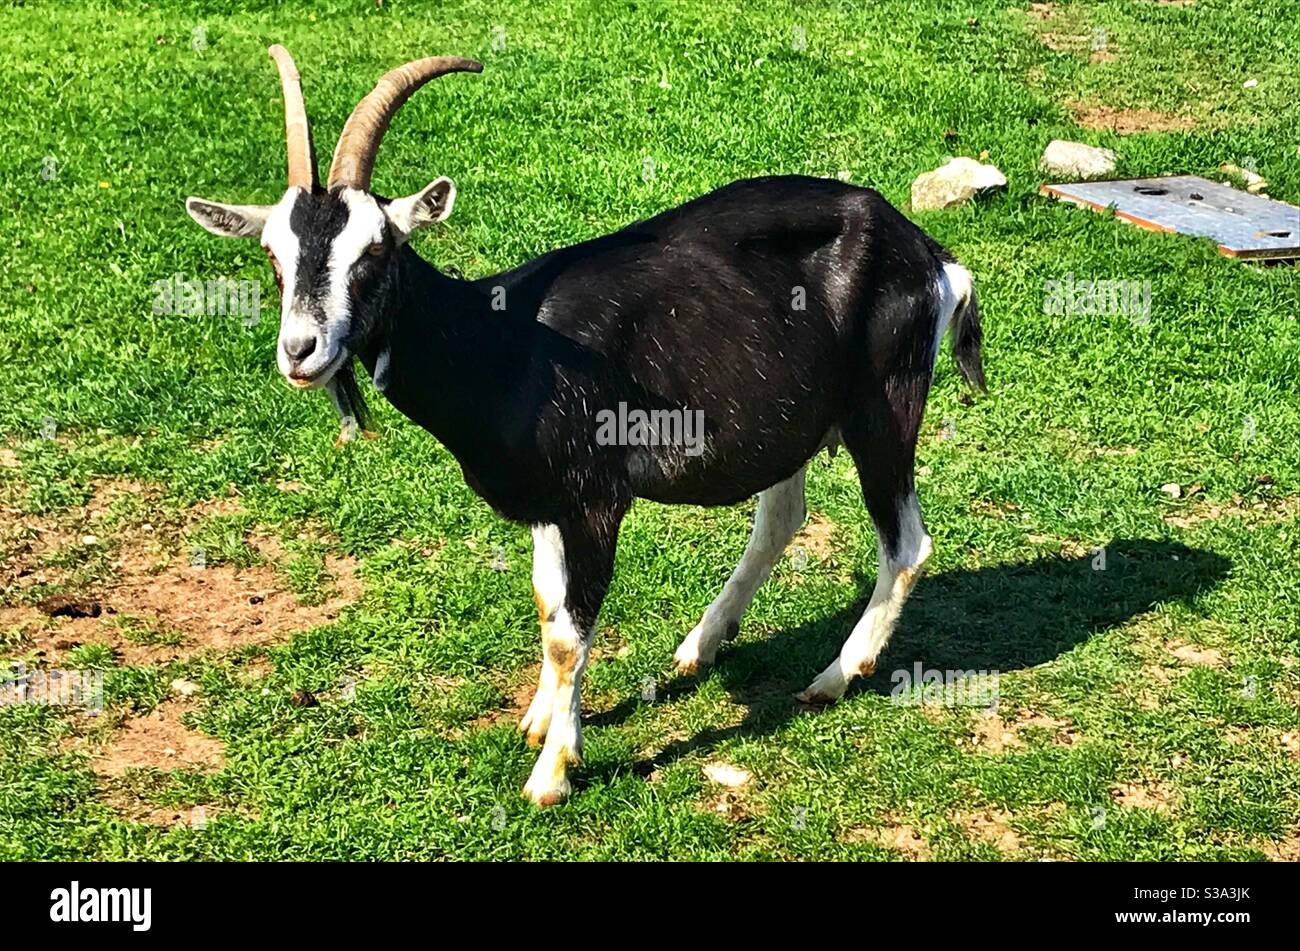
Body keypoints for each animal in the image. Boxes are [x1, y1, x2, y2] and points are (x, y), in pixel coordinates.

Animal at [186, 46, 986, 805]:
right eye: (274, 253)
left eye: (377, 249)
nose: (301, 350)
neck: (505, 344)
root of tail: (927, 251)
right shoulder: (546, 501)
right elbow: (549, 608)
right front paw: (541, 720)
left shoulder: (596, 498)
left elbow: (573, 634)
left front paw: (553, 772)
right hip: (788, 418)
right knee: (782, 516)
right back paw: (701, 645)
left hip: (884, 406)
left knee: (907, 542)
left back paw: (836, 674)